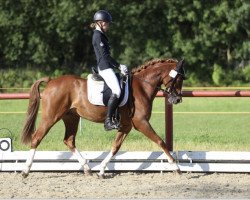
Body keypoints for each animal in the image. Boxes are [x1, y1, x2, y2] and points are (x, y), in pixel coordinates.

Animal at [21, 58, 186, 178]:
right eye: (179, 79)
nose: (178, 99)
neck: (142, 87)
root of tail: (51, 81)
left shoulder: (126, 126)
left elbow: (115, 147)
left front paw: (101, 169)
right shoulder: (141, 123)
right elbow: (160, 141)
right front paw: (176, 167)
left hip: (71, 118)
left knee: (69, 141)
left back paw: (87, 169)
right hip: (51, 117)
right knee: (37, 138)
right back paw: (25, 170)